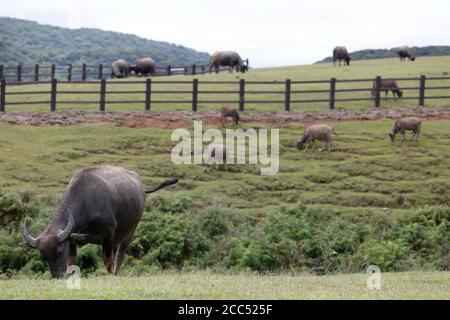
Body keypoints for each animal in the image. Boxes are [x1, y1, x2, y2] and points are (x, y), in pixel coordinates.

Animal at [22, 165, 178, 278]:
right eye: (43, 257)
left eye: (59, 252)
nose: (57, 276)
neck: (86, 202)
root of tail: (141, 188)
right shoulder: (72, 240)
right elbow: (72, 262)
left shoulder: (108, 234)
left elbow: (107, 260)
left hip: (129, 232)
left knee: (119, 256)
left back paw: (115, 273)